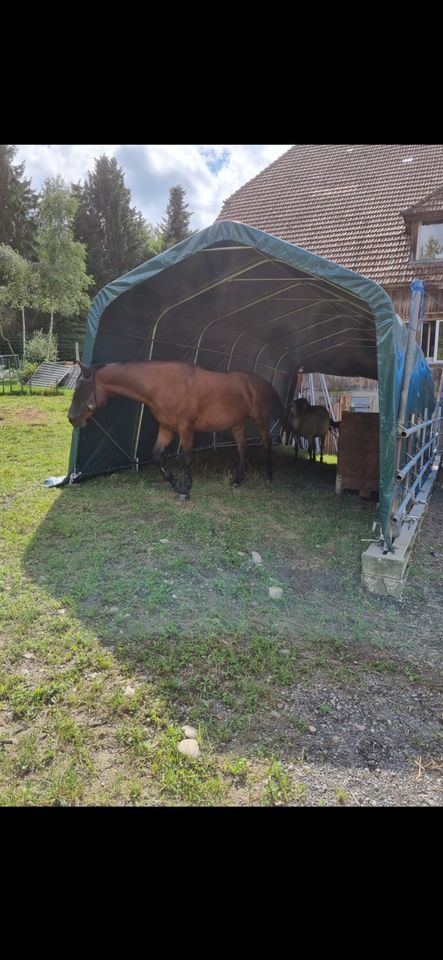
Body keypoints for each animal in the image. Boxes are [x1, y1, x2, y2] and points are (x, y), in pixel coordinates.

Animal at [67, 358, 286, 496]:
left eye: (80, 387)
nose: (72, 418)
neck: (164, 385)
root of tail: (262, 381)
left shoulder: (186, 428)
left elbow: (186, 456)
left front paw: (187, 487)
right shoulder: (167, 428)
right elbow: (156, 454)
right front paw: (176, 484)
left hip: (260, 421)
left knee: (267, 444)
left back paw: (269, 476)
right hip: (237, 424)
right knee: (242, 448)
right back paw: (238, 480)